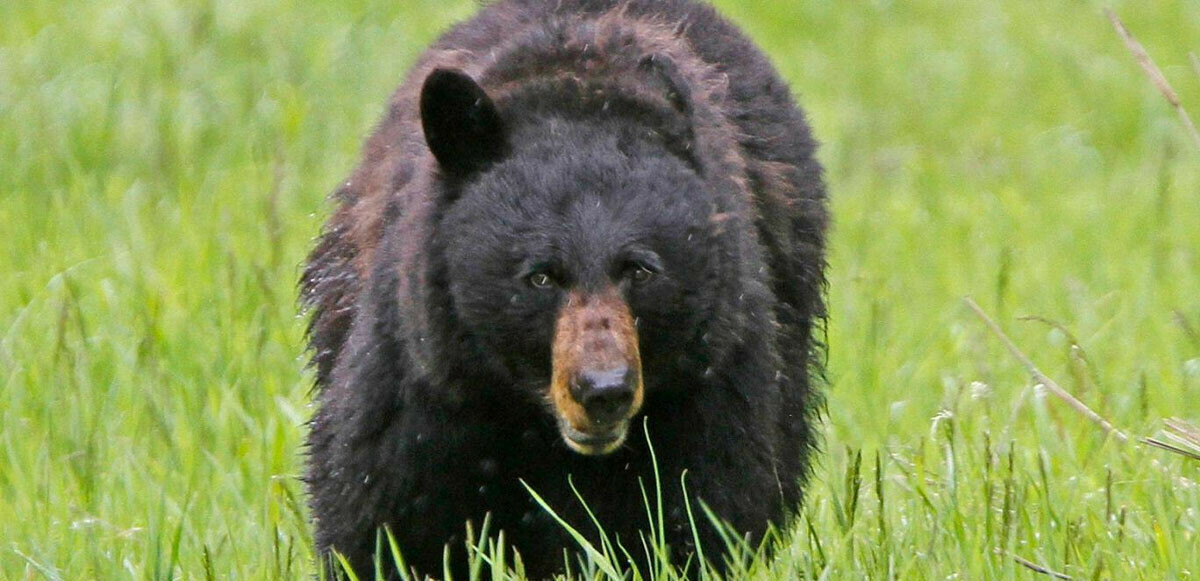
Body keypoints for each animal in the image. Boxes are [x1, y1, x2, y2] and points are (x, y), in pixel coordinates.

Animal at [300, 1, 825, 576]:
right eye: (540, 276)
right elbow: (387, 509)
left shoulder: (710, 374)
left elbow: (703, 509)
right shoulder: (429, 374)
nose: (603, 390)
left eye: (640, 270)